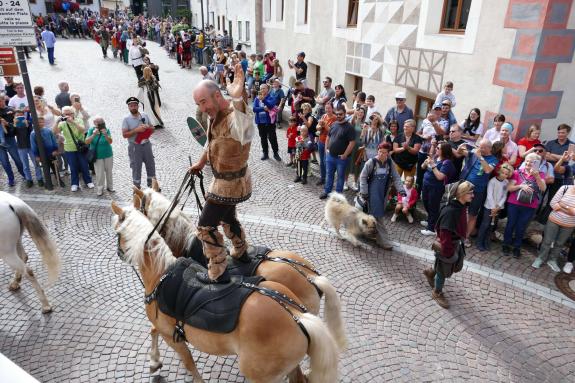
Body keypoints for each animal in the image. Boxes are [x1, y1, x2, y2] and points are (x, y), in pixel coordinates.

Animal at [111, 202, 342, 382]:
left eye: (118, 232)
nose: (120, 254)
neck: (161, 273)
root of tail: (295, 315)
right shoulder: (165, 328)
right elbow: (153, 331)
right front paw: (154, 362)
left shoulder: (171, 336)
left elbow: (189, 364)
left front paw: (156, 362)